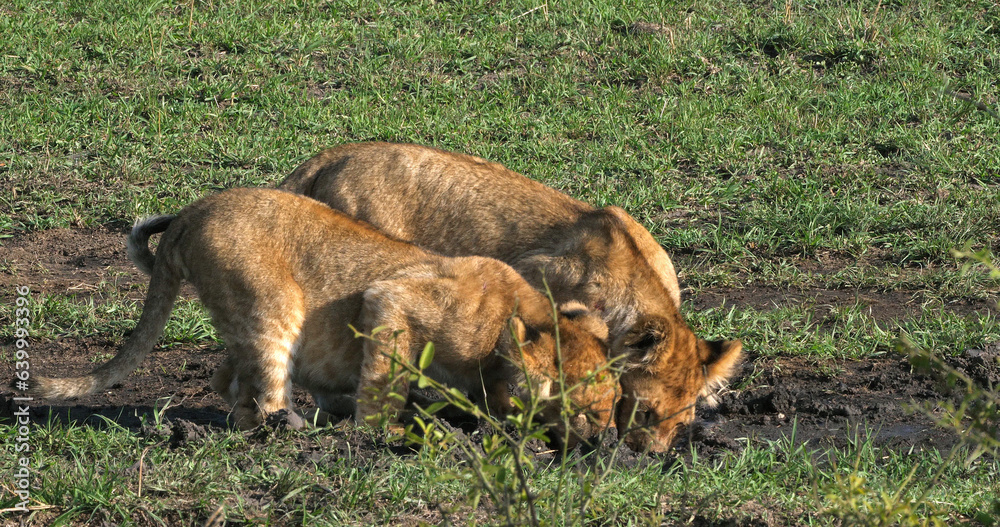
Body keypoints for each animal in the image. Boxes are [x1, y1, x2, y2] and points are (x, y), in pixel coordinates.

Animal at [29, 188, 616, 445]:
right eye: (590, 409)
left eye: (612, 408)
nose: (605, 440)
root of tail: (190, 214)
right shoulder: (390, 299)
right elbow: (384, 380)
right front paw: (383, 433)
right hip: (272, 303)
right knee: (258, 392)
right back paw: (290, 429)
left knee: (227, 377)